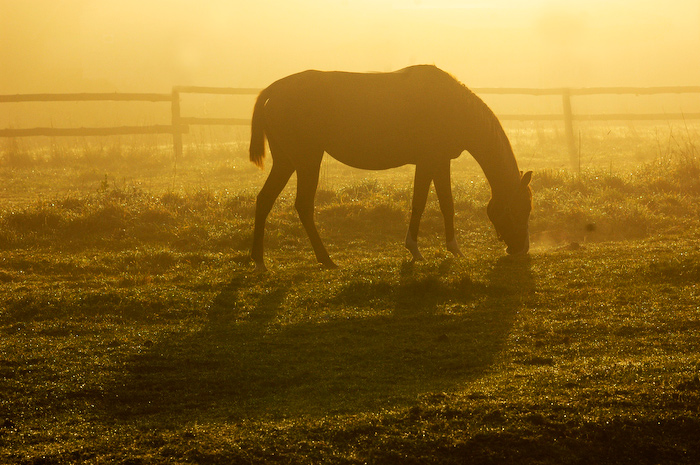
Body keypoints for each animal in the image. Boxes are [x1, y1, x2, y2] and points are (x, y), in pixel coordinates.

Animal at [249, 63, 528, 270]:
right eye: (518, 210)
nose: (522, 250)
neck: (452, 106)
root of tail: (275, 89)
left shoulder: (436, 163)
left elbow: (442, 204)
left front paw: (445, 249)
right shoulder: (432, 162)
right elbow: (426, 203)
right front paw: (422, 249)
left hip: (286, 162)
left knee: (264, 200)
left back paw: (259, 260)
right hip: (307, 160)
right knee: (303, 206)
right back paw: (326, 259)